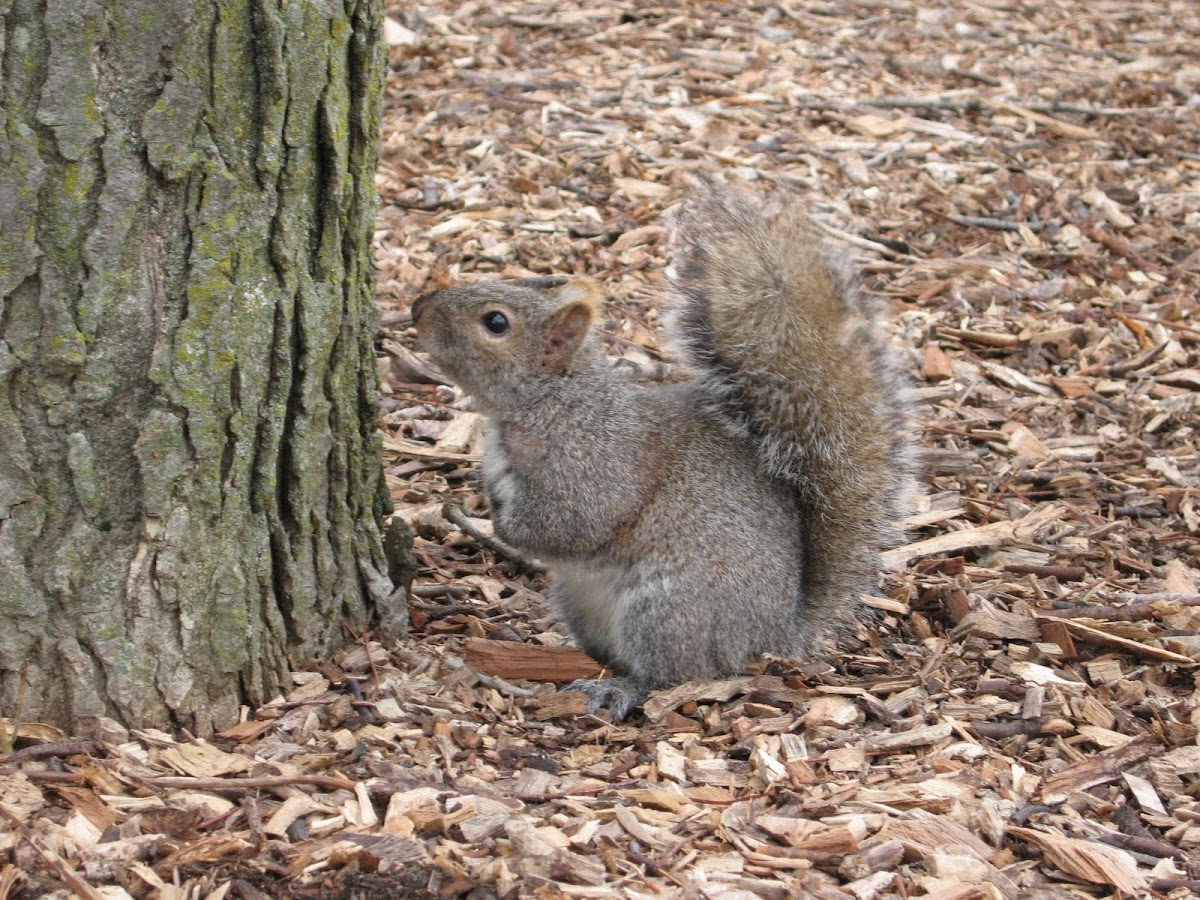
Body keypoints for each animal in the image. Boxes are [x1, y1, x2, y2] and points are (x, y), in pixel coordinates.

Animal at [408, 180, 912, 724]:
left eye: (496, 323)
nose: (418, 306)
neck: (551, 404)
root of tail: (772, 634)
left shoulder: (595, 465)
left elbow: (572, 524)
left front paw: (503, 528)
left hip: (667, 610)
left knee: (675, 673)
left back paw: (621, 688)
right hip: (580, 601)